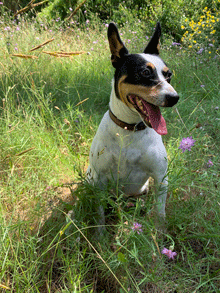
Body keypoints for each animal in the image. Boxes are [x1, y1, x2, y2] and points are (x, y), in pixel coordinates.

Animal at [86, 21, 179, 225]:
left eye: (168, 75)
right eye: (145, 72)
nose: (174, 98)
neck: (130, 130)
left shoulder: (160, 178)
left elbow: (160, 214)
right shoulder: (99, 181)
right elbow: (100, 216)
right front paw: (100, 232)